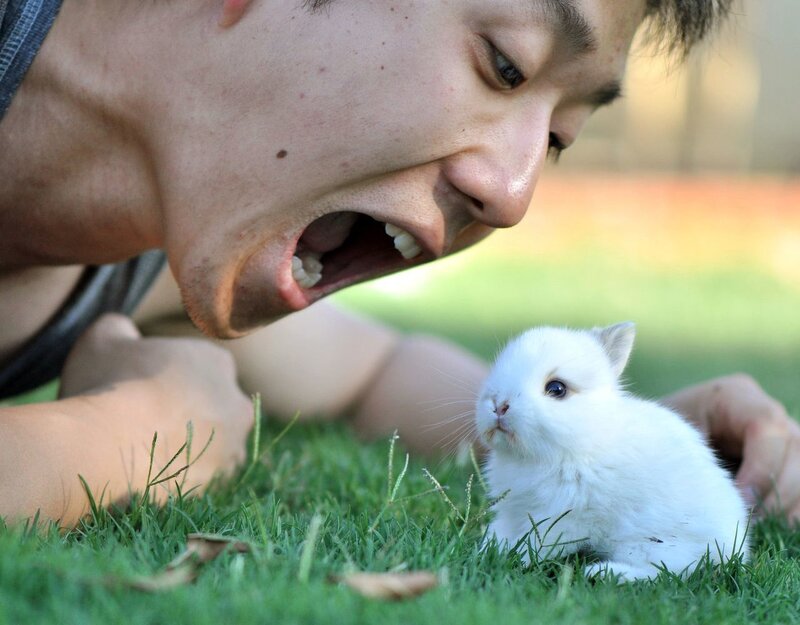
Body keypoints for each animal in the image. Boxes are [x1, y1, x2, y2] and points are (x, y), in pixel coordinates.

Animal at [475, 322, 750, 582]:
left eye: (556, 389)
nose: (498, 404)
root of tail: (734, 548)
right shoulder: (512, 511)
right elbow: (501, 531)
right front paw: (488, 549)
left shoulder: (564, 518)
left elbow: (537, 542)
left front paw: (513, 558)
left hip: (651, 542)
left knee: (670, 571)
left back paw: (602, 573)